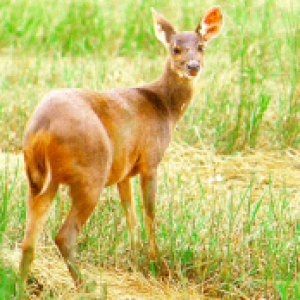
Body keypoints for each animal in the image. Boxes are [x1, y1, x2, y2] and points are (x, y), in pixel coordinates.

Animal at [19, 5, 223, 296]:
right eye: (175, 48)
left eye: (202, 46)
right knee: (64, 235)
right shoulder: (151, 160)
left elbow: (131, 217)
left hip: (38, 179)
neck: (165, 108)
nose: (193, 66)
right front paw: (156, 266)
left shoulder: (124, 171)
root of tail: (42, 130)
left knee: (29, 240)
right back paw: (87, 286)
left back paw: (20, 287)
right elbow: (150, 215)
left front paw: (136, 261)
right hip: (91, 172)